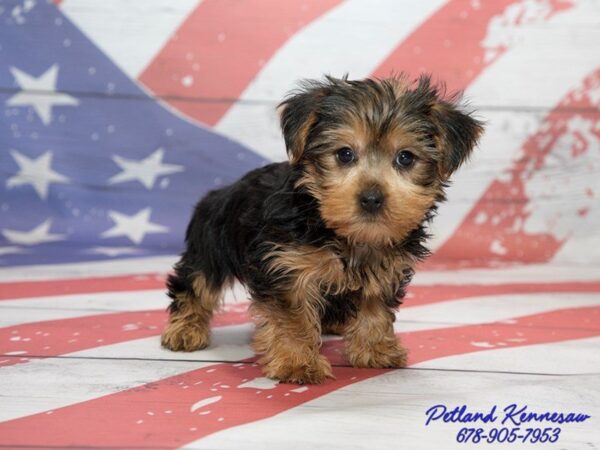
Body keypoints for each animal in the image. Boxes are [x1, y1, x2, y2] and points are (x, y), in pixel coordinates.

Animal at [161, 74, 482, 384]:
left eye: (405, 157)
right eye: (344, 154)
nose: (371, 198)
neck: (343, 234)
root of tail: (220, 192)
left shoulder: (386, 269)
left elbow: (375, 308)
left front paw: (375, 349)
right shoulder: (286, 268)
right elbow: (293, 318)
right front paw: (297, 362)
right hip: (210, 247)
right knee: (195, 284)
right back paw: (185, 330)